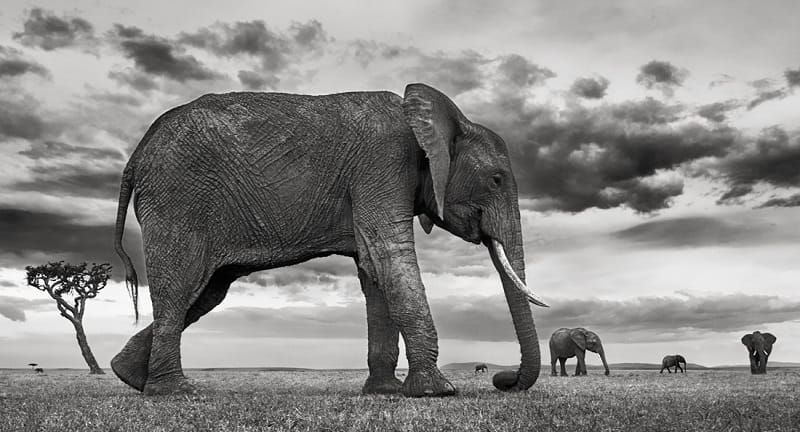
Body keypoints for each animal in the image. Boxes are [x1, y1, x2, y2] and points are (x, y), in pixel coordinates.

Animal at [110, 83, 548, 397]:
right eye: (496, 180)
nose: (501, 380)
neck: (433, 119)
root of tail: (136, 155)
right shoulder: (382, 165)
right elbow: (390, 256)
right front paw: (437, 391)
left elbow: (374, 271)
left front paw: (385, 392)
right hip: (177, 198)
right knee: (181, 284)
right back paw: (176, 392)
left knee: (205, 291)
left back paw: (129, 376)